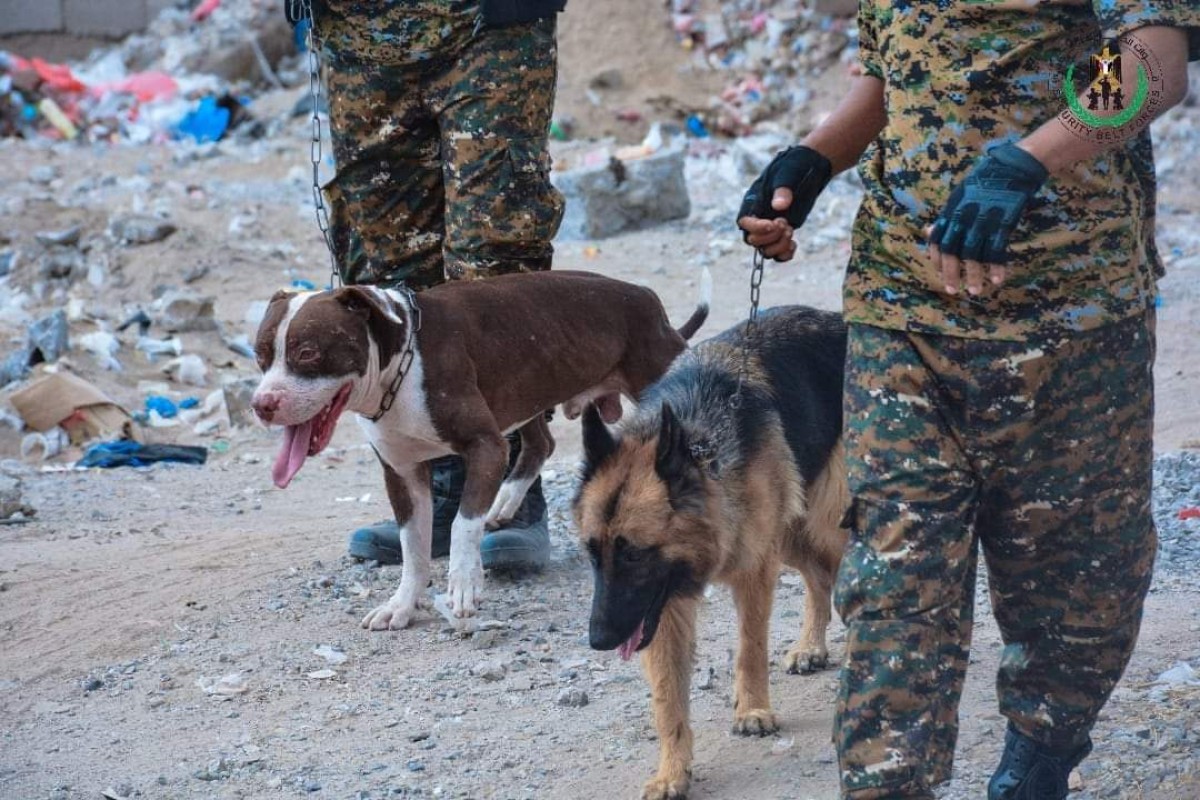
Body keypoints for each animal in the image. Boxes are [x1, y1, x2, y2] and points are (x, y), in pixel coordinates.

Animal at [249, 271, 705, 633]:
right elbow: (413, 547)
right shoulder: (402, 473)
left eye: (308, 352)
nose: (261, 404)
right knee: (541, 443)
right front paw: (402, 604)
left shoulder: (485, 446)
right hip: (524, 392)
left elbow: (462, 524)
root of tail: (647, 298)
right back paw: (504, 502)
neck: (400, 365)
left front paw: (465, 582)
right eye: (260, 355)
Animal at [576, 307, 849, 800]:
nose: (598, 640)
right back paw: (811, 646)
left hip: (824, 520)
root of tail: (835, 319)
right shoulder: (661, 610)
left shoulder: (753, 570)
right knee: (820, 577)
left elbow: (750, 648)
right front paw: (672, 770)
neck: (703, 450)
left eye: (633, 555)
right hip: (790, 533)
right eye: (592, 554)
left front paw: (753, 709)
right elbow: (667, 697)